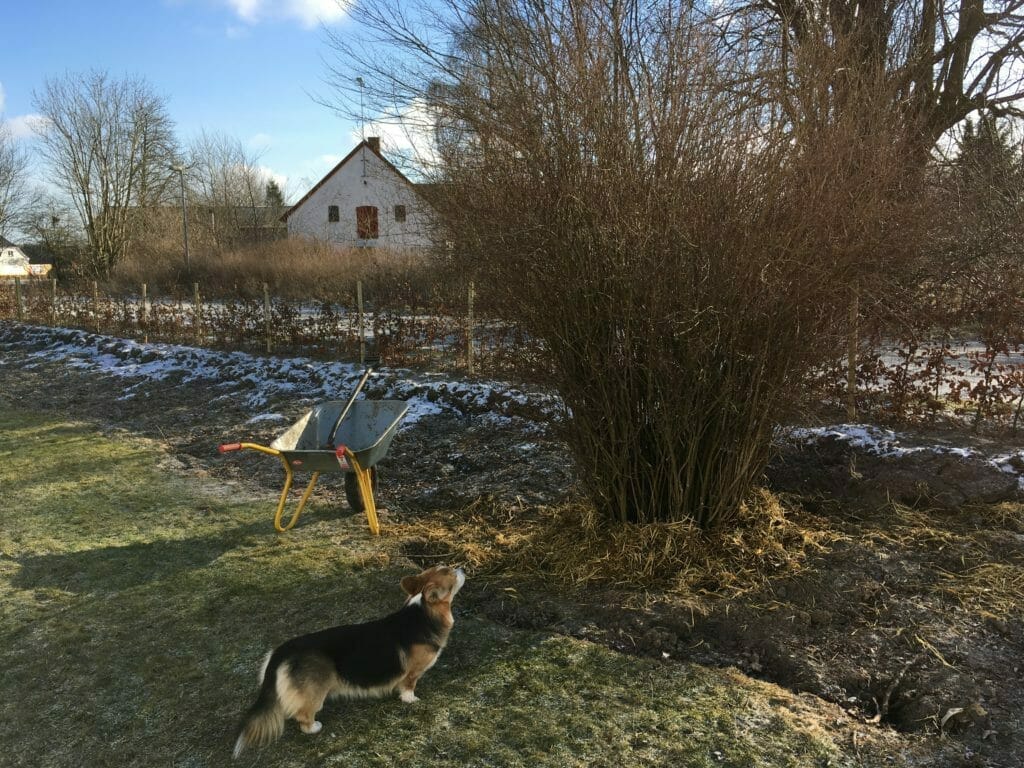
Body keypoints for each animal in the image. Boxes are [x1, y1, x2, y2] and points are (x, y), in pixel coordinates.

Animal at [231, 565, 464, 757]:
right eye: (450, 572)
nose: (462, 567)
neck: (424, 612)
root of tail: (283, 650)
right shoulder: (413, 672)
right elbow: (409, 686)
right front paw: (411, 700)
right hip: (316, 694)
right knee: (303, 716)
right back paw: (314, 727)